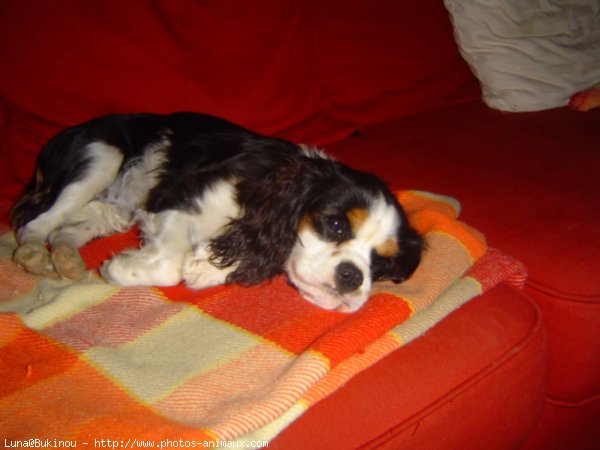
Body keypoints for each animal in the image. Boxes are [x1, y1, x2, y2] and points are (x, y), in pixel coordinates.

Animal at [9, 111, 422, 312]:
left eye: (382, 265)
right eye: (335, 224)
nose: (352, 275)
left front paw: (205, 266)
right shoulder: (178, 195)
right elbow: (169, 263)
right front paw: (119, 268)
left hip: (108, 206)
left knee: (64, 229)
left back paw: (66, 259)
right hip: (101, 156)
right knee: (35, 224)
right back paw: (33, 255)